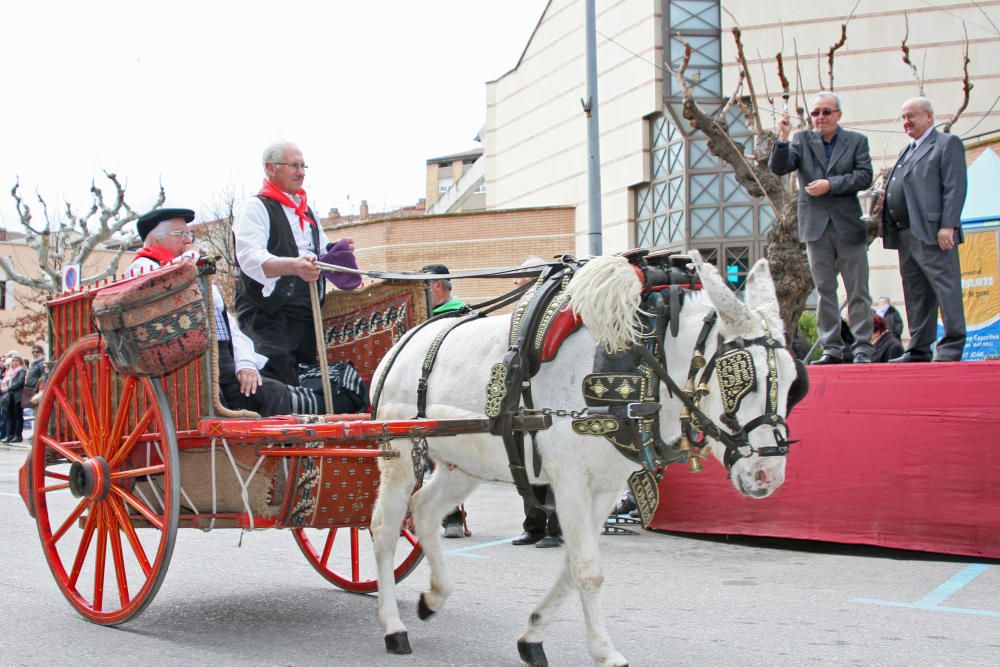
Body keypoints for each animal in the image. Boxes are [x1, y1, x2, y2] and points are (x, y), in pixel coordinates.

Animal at [372, 252, 800, 667]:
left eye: (795, 382)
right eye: (741, 378)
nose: (767, 474)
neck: (642, 361)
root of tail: (402, 344)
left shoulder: (607, 486)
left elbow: (572, 564)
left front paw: (534, 634)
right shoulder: (570, 479)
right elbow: (588, 569)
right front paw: (604, 650)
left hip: (463, 464)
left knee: (424, 510)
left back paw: (434, 597)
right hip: (400, 454)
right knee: (385, 531)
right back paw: (393, 627)